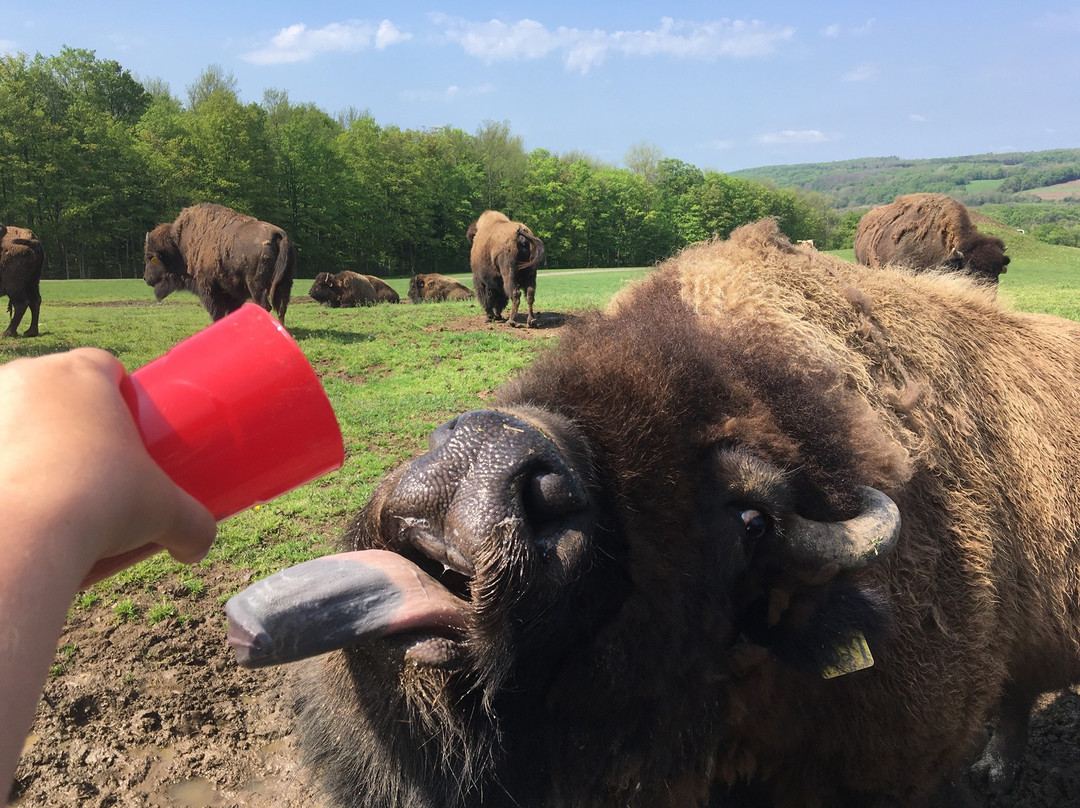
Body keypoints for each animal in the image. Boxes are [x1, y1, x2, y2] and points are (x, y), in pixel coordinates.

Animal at [143, 203, 298, 324]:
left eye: (150, 257)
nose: (145, 278)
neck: (178, 246)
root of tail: (278, 235)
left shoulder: (208, 286)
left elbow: (216, 311)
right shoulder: (232, 291)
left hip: (256, 285)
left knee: (264, 305)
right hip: (285, 282)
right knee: (281, 307)